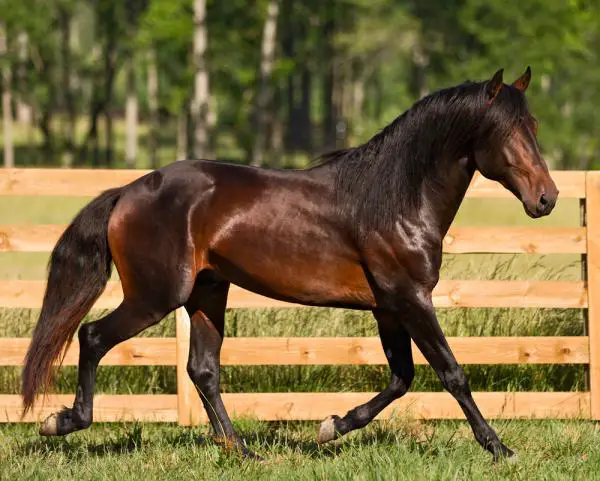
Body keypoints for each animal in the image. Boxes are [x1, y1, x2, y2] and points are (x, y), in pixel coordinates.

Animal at [22, 67, 556, 462]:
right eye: (505, 132)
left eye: (533, 128)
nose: (546, 199)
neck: (396, 200)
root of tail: (128, 192)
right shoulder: (410, 300)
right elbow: (451, 373)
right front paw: (499, 448)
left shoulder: (388, 308)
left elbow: (401, 378)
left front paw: (331, 426)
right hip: (155, 297)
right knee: (93, 337)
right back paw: (62, 421)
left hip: (207, 292)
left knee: (203, 370)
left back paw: (241, 451)